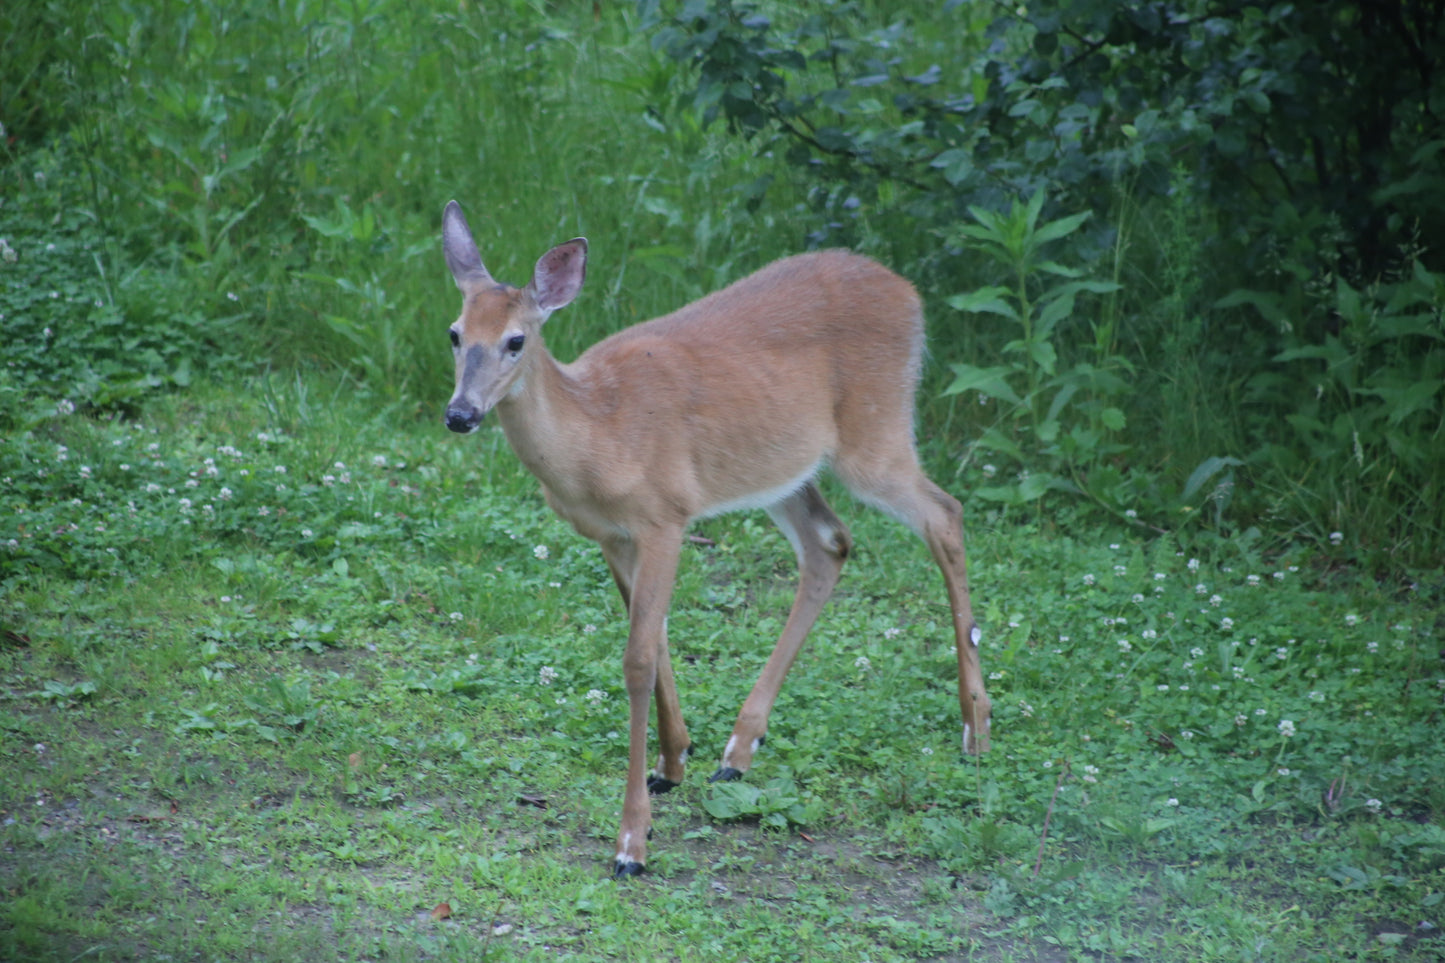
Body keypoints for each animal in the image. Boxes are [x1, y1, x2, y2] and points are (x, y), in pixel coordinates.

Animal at [439, 200, 992, 877]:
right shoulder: (614, 536)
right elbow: (655, 641)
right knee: (830, 542)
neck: (599, 432)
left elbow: (637, 660)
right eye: (455, 333)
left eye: (516, 341)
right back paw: (739, 749)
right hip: (783, 467)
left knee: (945, 514)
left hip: (876, 433)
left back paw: (975, 729)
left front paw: (632, 842)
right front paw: (673, 763)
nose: (460, 414)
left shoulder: (665, 516)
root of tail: (909, 292)